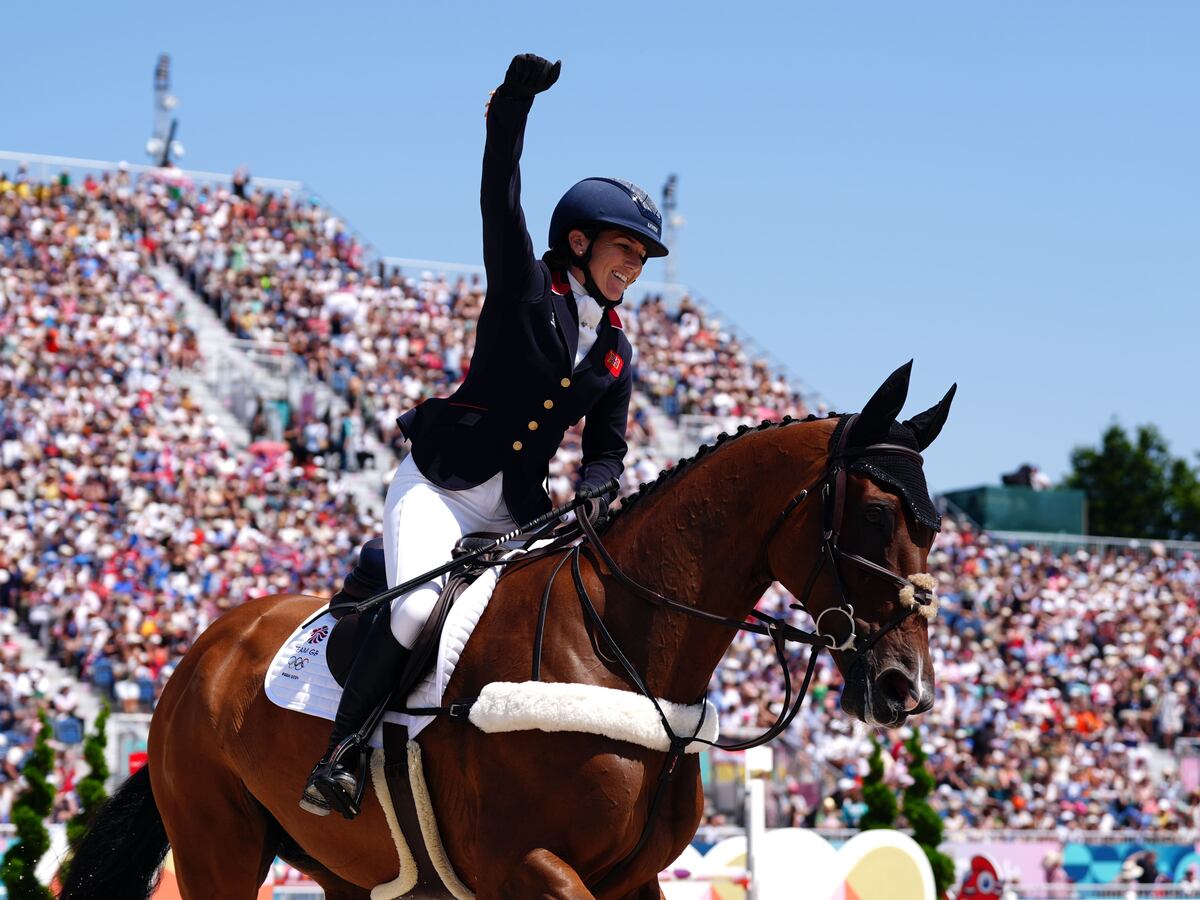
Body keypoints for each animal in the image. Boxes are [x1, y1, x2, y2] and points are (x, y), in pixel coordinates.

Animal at [63, 362, 955, 900]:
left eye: (936, 525)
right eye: (875, 516)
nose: (905, 688)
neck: (621, 650)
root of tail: (201, 657)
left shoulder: (630, 878)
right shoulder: (527, 867)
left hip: (346, 869)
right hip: (217, 847)